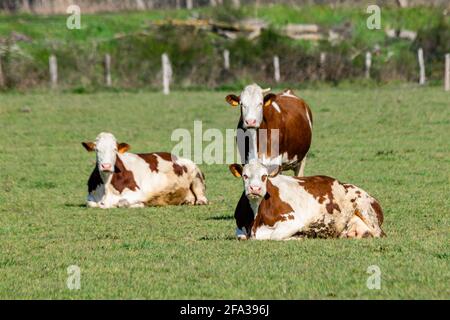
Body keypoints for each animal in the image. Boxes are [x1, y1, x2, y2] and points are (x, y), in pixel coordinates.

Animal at [230, 162, 384, 240]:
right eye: (245, 175)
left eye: (264, 176)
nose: (255, 188)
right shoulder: (239, 226)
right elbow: (241, 236)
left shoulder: (293, 221)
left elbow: (274, 235)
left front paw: (297, 237)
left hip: (365, 208)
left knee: (379, 234)